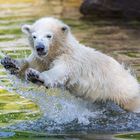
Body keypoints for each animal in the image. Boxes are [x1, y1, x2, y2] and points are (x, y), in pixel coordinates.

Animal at [1, 17, 140, 112]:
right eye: (34, 36)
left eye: (49, 36)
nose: (40, 48)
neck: (61, 49)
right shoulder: (42, 59)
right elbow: (28, 65)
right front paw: (10, 62)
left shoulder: (71, 59)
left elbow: (59, 72)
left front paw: (35, 75)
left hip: (124, 93)